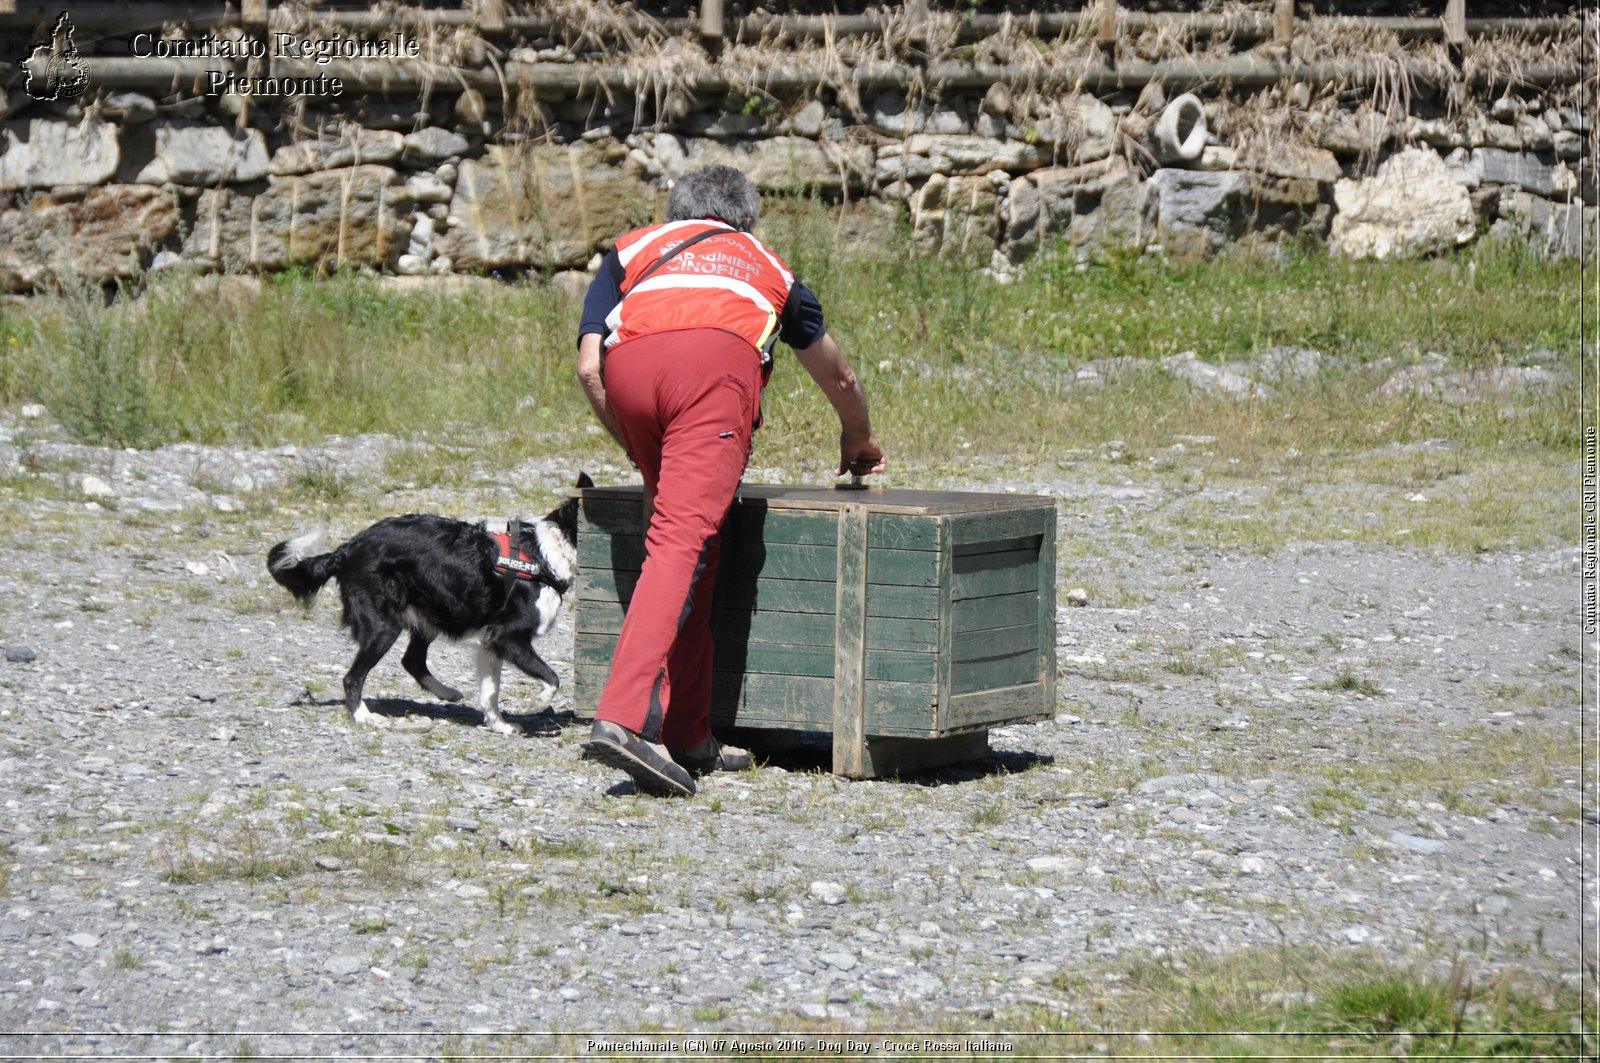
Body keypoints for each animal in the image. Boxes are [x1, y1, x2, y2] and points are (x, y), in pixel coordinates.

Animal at [265, 473, 592, 736]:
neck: (546, 554)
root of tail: (346, 550)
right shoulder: (508, 637)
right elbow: (553, 679)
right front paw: (534, 705)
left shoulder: (490, 642)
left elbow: (490, 692)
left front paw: (500, 725)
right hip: (385, 626)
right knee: (352, 677)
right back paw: (365, 718)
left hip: (428, 614)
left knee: (411, 660)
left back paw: (447, 694)